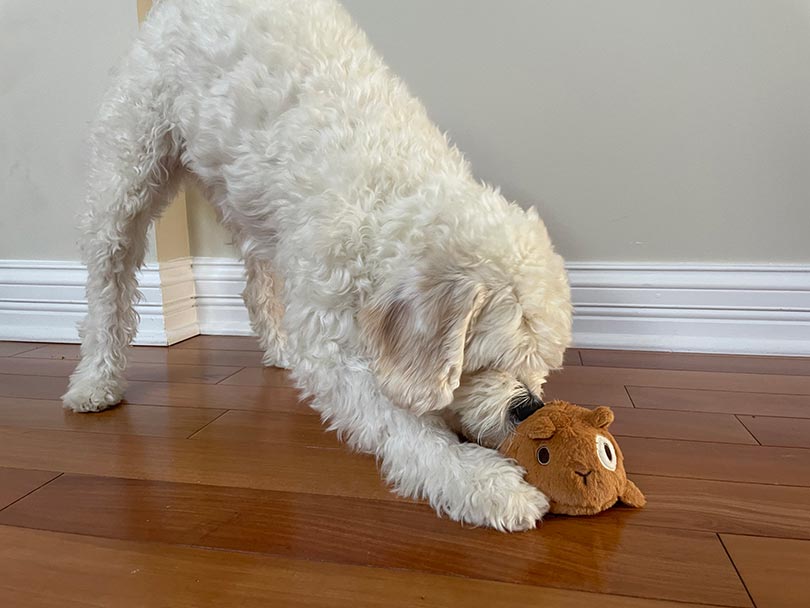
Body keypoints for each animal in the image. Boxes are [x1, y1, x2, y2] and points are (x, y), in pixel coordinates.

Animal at [61, 0, 568, 532]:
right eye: (487, 362)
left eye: (544, 365)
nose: (528, 409)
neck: (391, 198)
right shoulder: (332, 345)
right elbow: (403, 427)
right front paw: (480, 483)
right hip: (130, 168)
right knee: (107, 284)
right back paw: (95, 381)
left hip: (251, 202)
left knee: (256, 284)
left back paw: (277, 347)